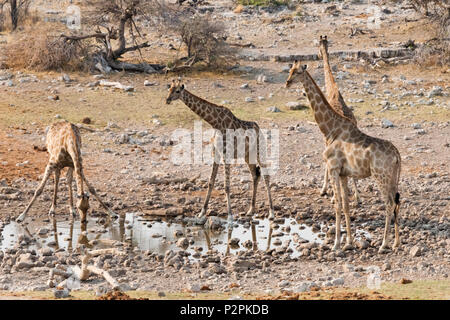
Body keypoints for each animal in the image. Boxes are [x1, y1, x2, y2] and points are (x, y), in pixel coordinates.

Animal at [165, 79, 274, 222]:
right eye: (169, 89)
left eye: (177, 91)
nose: (167, 100)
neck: (215, 123)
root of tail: (258, 128)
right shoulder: (216, 154)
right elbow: (211, 182)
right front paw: (201, 212)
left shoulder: (226, 155)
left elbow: (226, 186)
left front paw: (230, 215)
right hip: (247, 155)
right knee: (255, 175)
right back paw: (251, 210)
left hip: (259, 151)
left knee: (266, 175)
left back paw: (271, 212)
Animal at [284, 62, 400, 252]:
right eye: (290, 70)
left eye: (298, 72)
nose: (287, 82)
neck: (331, 129)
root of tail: (398, 155)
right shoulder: (344, 173)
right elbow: (345, 205)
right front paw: (349, 242)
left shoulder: (333, 169)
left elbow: (337, 204)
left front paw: (336, 243)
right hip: (393, 177)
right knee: (396, 201)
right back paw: (396, 242)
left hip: (380, 176)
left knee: (389, 203)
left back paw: (384, 244)